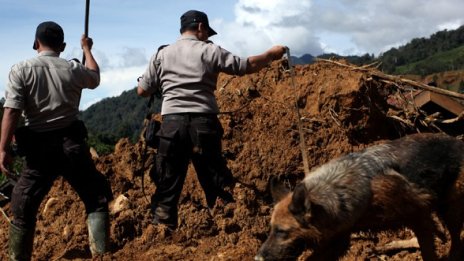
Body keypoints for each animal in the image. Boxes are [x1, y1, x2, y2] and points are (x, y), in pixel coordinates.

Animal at [256, 133, 464, 258]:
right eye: (271, 229)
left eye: (281, 231)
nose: (257, 257)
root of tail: (458, 142)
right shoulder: (339, 237)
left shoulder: (417, 212)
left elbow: (427, 247)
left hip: (451, 207)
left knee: (456, 236)